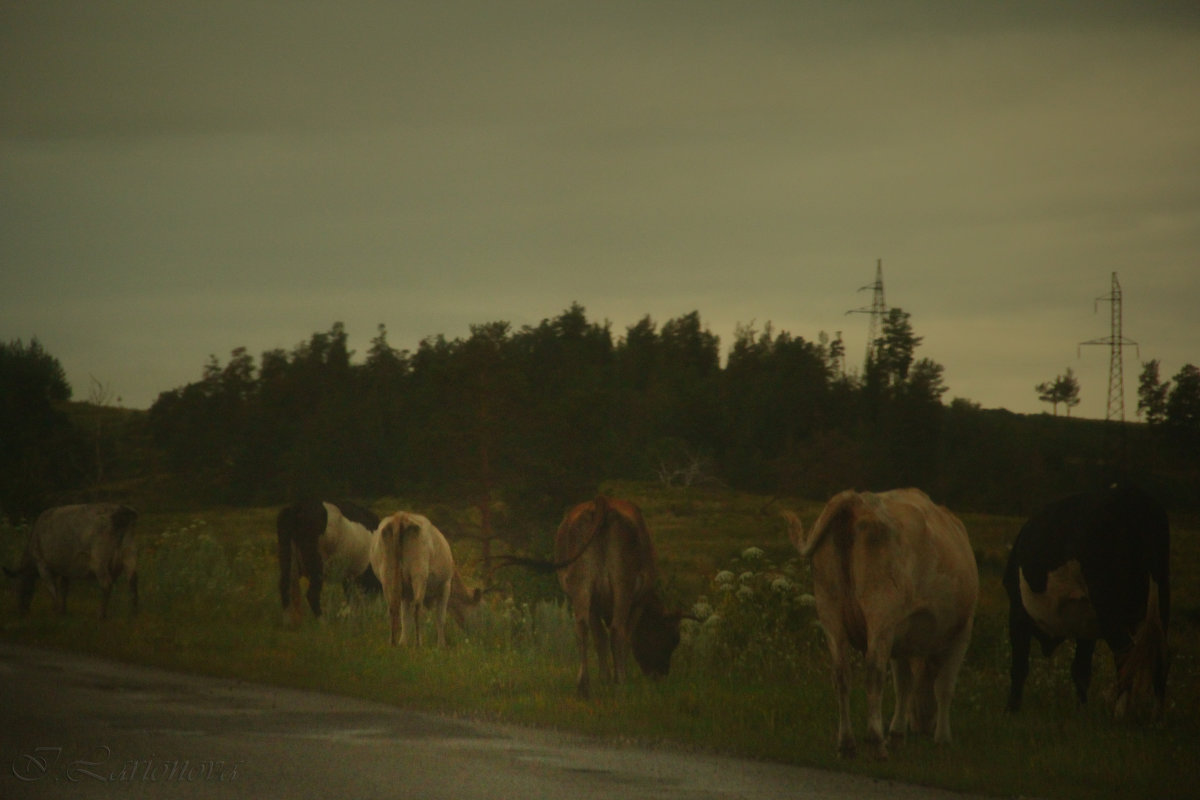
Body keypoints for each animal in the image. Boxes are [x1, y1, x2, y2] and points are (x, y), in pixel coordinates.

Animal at [3, 503, 138, 623]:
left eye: (18, 586)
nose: (21, 610)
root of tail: (123, 512)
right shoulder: (65, 568)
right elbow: (64, 588)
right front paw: (63, 610)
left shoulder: (42, 562)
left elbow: (51, 587)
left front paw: (56, 609)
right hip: (129, 553)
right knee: (133, 580)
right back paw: (133, 614)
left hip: (99, 559)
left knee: (106, 584)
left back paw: (101, 615)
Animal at [367, 513, 460, 652]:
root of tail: (400, 516)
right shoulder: (445, 585)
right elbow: (440, 617)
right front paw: (441, 645)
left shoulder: (405, 594)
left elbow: (405, 617)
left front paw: (403, 642)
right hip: (419, 572)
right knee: (417, 606)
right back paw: (418, 643)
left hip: (387, 573)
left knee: (392, 607)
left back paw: (392, 643)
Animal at [782, 489, 979, 758]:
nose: (922, 727)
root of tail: (856, 499)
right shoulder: (962, 631)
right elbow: (944, 687)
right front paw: (942, 738)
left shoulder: (901, 637)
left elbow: (903, 685)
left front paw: (897, 734)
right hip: (880, 611)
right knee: (874, 671)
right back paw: (876, 741)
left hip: (829, 609)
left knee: (841, 673)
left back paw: (847, 743)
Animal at [1003, 484, 1171, 724]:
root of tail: (1135, 498)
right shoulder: (1086, 626)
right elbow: (1081, 670)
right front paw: (1081, 712)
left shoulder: (1018, 613)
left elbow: (1019, 666)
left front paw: (1011, 710)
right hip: (1160, 599)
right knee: (1160, 656)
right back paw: (1157, 718)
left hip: (1108, 603)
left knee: (1126, 652)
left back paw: (1119, 715)